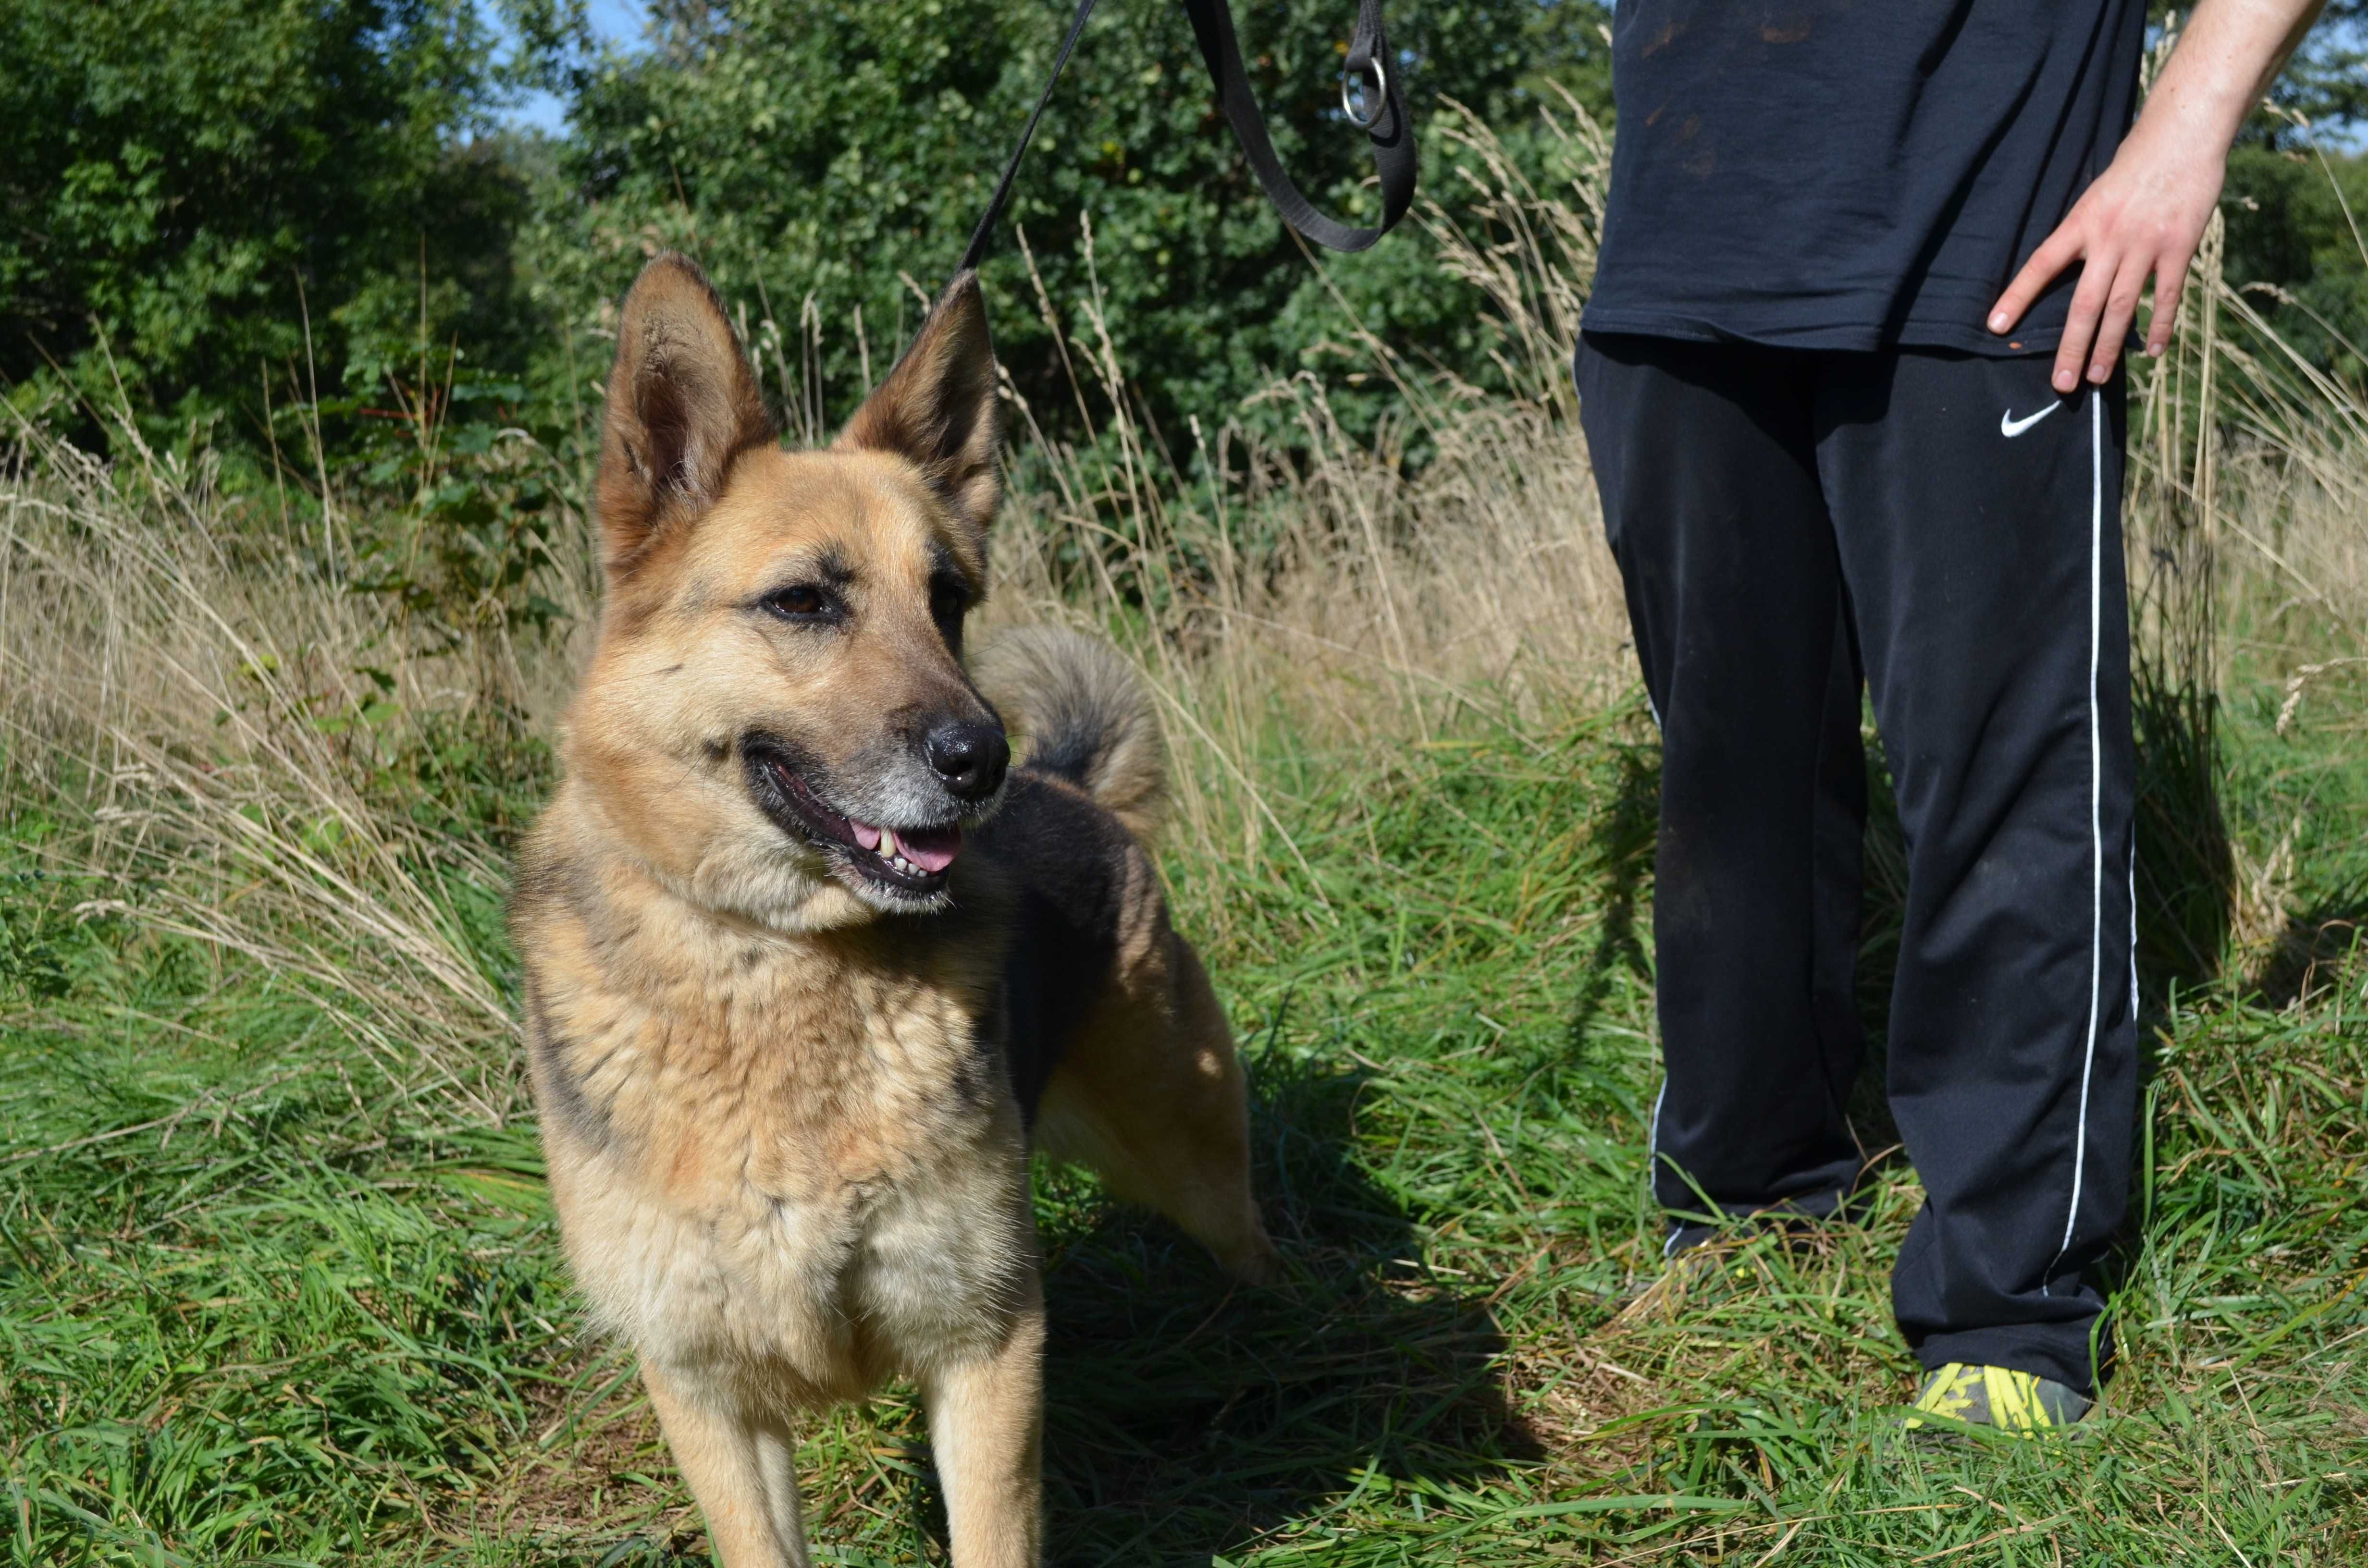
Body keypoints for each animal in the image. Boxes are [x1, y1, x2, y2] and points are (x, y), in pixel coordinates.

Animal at [514, 252, 1279, 1563]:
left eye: (950, 600)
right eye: (802, 603)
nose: (983, 759)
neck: (777, 963)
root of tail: (1076, 788)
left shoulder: (986, 1344)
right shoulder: (710, 1395)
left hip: (1193, 1163)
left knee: (1258, 1246)